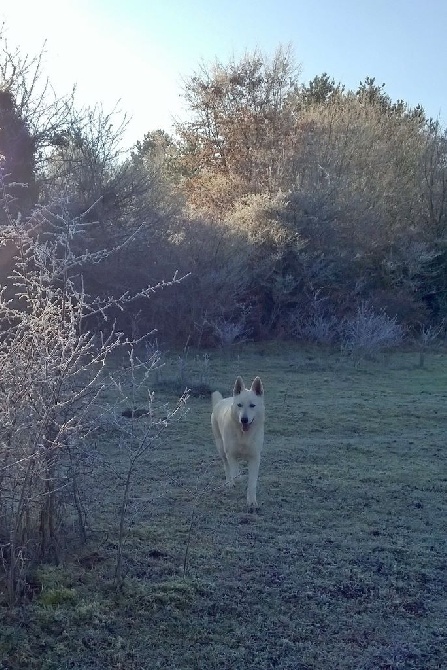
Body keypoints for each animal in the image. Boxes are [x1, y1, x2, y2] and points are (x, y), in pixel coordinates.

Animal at [211, 378, 264, 510]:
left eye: (252, 405)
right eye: (239, 405)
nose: (244, 420)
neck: (243, 435)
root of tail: (221, 401)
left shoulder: (255, 458)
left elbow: (252, 483)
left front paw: (252, 502)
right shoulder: (231, 455)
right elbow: (236, 474)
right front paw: (239, 478)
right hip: (221, 449)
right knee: (227, 467)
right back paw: (229, 482)